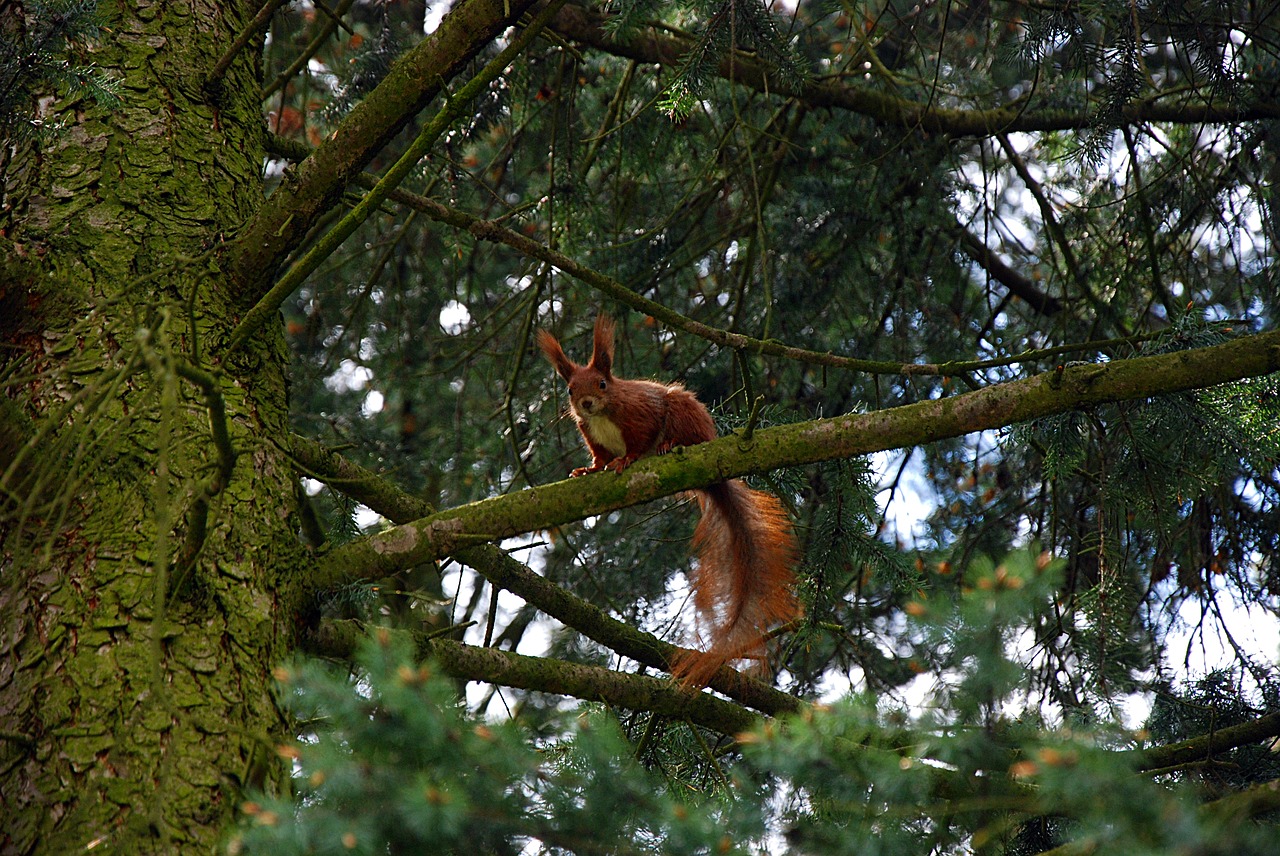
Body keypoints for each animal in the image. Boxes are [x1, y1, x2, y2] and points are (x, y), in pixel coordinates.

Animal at [532, 317, 793, 685]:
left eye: (602, 383)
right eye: (569, 389)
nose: (586, 403)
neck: (603, 415)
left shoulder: (640, 415)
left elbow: (640, 441)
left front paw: (628, 460)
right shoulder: (591, 433)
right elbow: (599, 457)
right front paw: (588, 469)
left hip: (684, 414)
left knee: (682, 434)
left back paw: (670, 445)